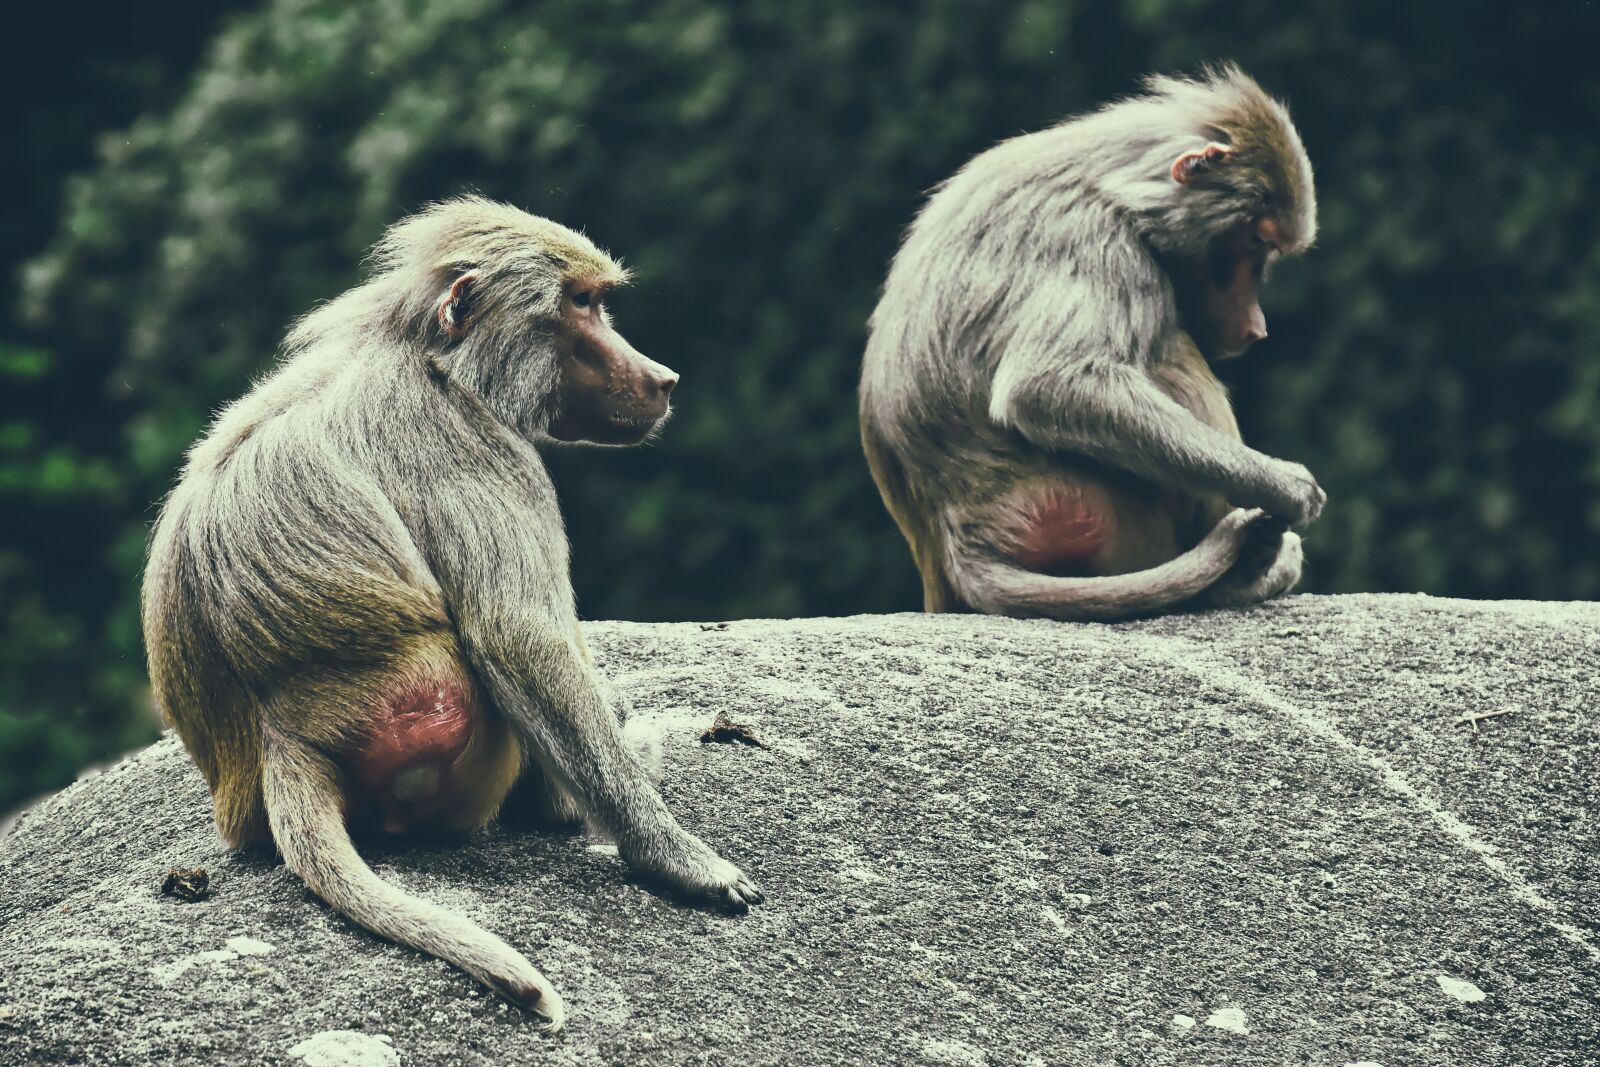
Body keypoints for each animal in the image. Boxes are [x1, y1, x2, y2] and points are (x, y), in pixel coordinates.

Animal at [141, 197, 762, 1031]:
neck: (431, 357)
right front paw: (681, 859)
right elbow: (522, 639)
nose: (662, 378)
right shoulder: (473, 446)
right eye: (579, 303)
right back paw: (572, 796)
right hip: (455, 752)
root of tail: (282, 740)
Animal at [860, 65, 1325, 620]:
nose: (1256, 327)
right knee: (1168, 349)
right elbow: (1047, 386)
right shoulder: (1099, 242)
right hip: (1092, 516)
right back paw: (1242, 574)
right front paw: (1285, 485)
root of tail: (960, 537)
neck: (1120, 187)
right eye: (1255, 242)